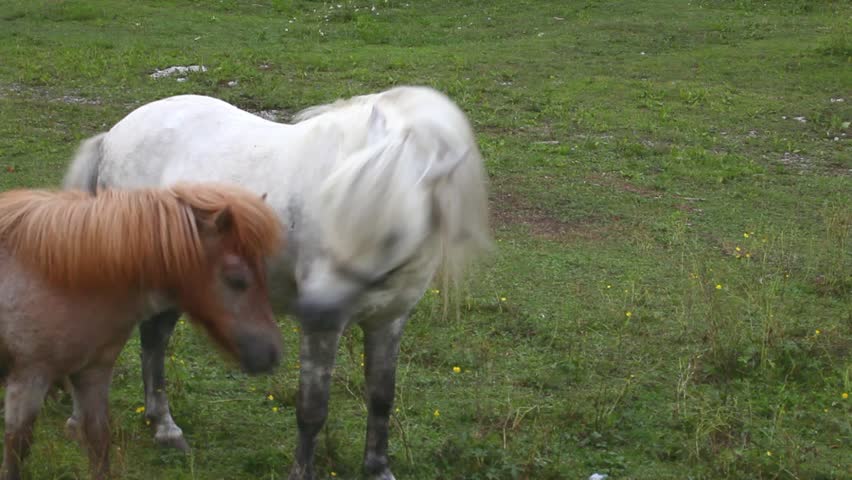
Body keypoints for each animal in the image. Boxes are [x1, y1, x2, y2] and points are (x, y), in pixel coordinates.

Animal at [0, 183, 284, 480]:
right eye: (237, 279)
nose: (273, 353)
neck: (59, 275)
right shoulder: (28, 379)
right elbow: (15, 456)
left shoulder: (93, 373)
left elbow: (99, 445)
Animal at [63, 85, 492, 480]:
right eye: (333, 211)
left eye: (393, 234)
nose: (313, 308)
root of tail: (113, 136)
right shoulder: (324, 328)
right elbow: (313, 408)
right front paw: (302, 473)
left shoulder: (388, 321)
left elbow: (382, 397)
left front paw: (378, 469)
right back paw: (83, 422)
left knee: (154, 339)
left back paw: (164, 429)